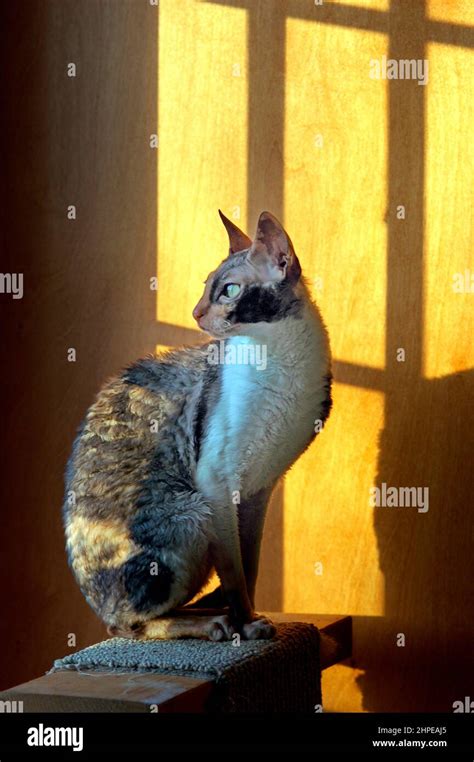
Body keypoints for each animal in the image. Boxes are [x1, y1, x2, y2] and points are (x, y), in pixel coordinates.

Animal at [63, 211, 332, 640]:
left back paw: (209, 610)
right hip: (191, 513)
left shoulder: (258, 489)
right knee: (128, 625)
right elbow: (235, 572)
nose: (195, 312)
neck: (281, 363)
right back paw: (211, 623)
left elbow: (249, 564)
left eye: (229, 291)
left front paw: (249, 616)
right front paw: (247, 624)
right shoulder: (216, 481)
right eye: (206, 288)